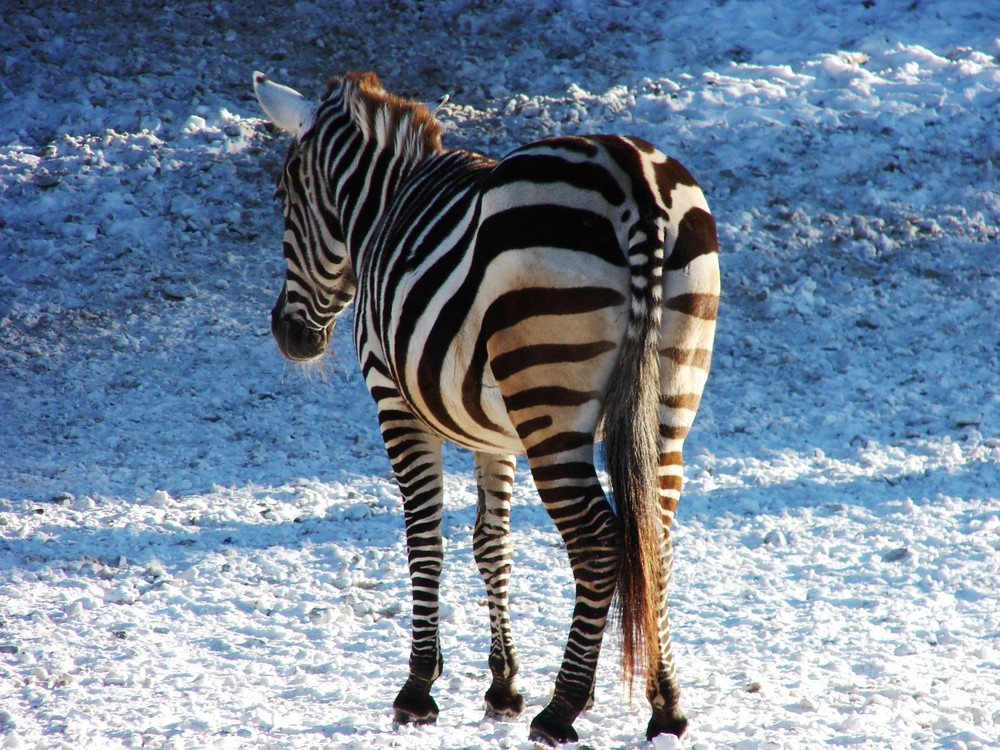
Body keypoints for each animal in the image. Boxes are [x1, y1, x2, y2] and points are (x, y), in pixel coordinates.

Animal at [252, 72, 720, 748]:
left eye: (285, 195)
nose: (288, 336)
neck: (384, 208)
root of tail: (636, 179)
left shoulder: (395, 401)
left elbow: (425, 537)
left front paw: (418, 688)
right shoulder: (494, 433)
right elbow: (490, 543)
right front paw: (502, 686)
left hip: (552, 407)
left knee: (599, 539)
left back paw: (562, 707)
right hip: (668, 398)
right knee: (653, 534)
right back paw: (667, 707)